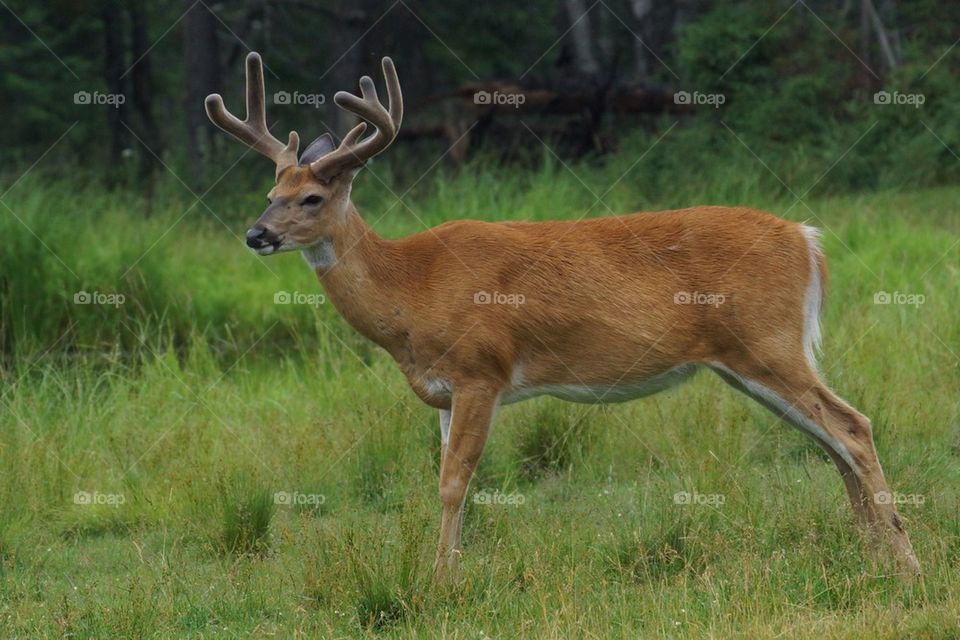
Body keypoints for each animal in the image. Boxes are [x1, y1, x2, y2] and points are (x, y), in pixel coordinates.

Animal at [204, 51, 924, 580]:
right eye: (271, 190)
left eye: (312, 198)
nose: (256, 234)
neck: (408, 291)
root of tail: (807, 239)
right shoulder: (443, 390)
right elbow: (444, 480)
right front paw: (450, 569)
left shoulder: (482, 369)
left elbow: (453, 482)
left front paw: (439, 582)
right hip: (751, 359)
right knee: (831, 439)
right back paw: (872, 557)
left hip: (767, 342)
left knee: (852, 426)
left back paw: (905, 564)